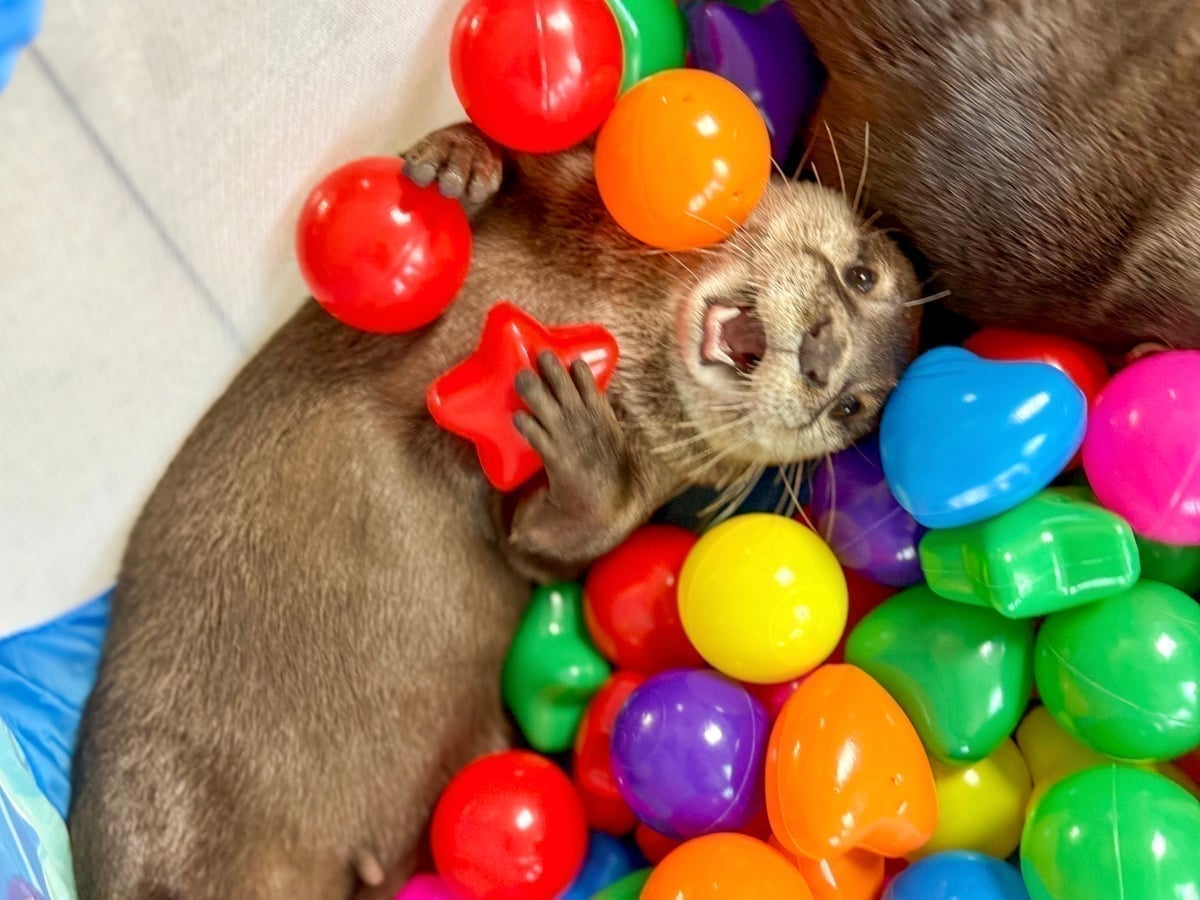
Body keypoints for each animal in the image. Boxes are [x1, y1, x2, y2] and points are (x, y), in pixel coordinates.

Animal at [68, 122, 921, 900]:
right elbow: (516, 168)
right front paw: (458, 160)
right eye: (861, 274)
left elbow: (548, 544)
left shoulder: (642, 483)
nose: (824, 358)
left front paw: (580, 442)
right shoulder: (564, 198)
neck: (614, 313)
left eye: (853, 408)